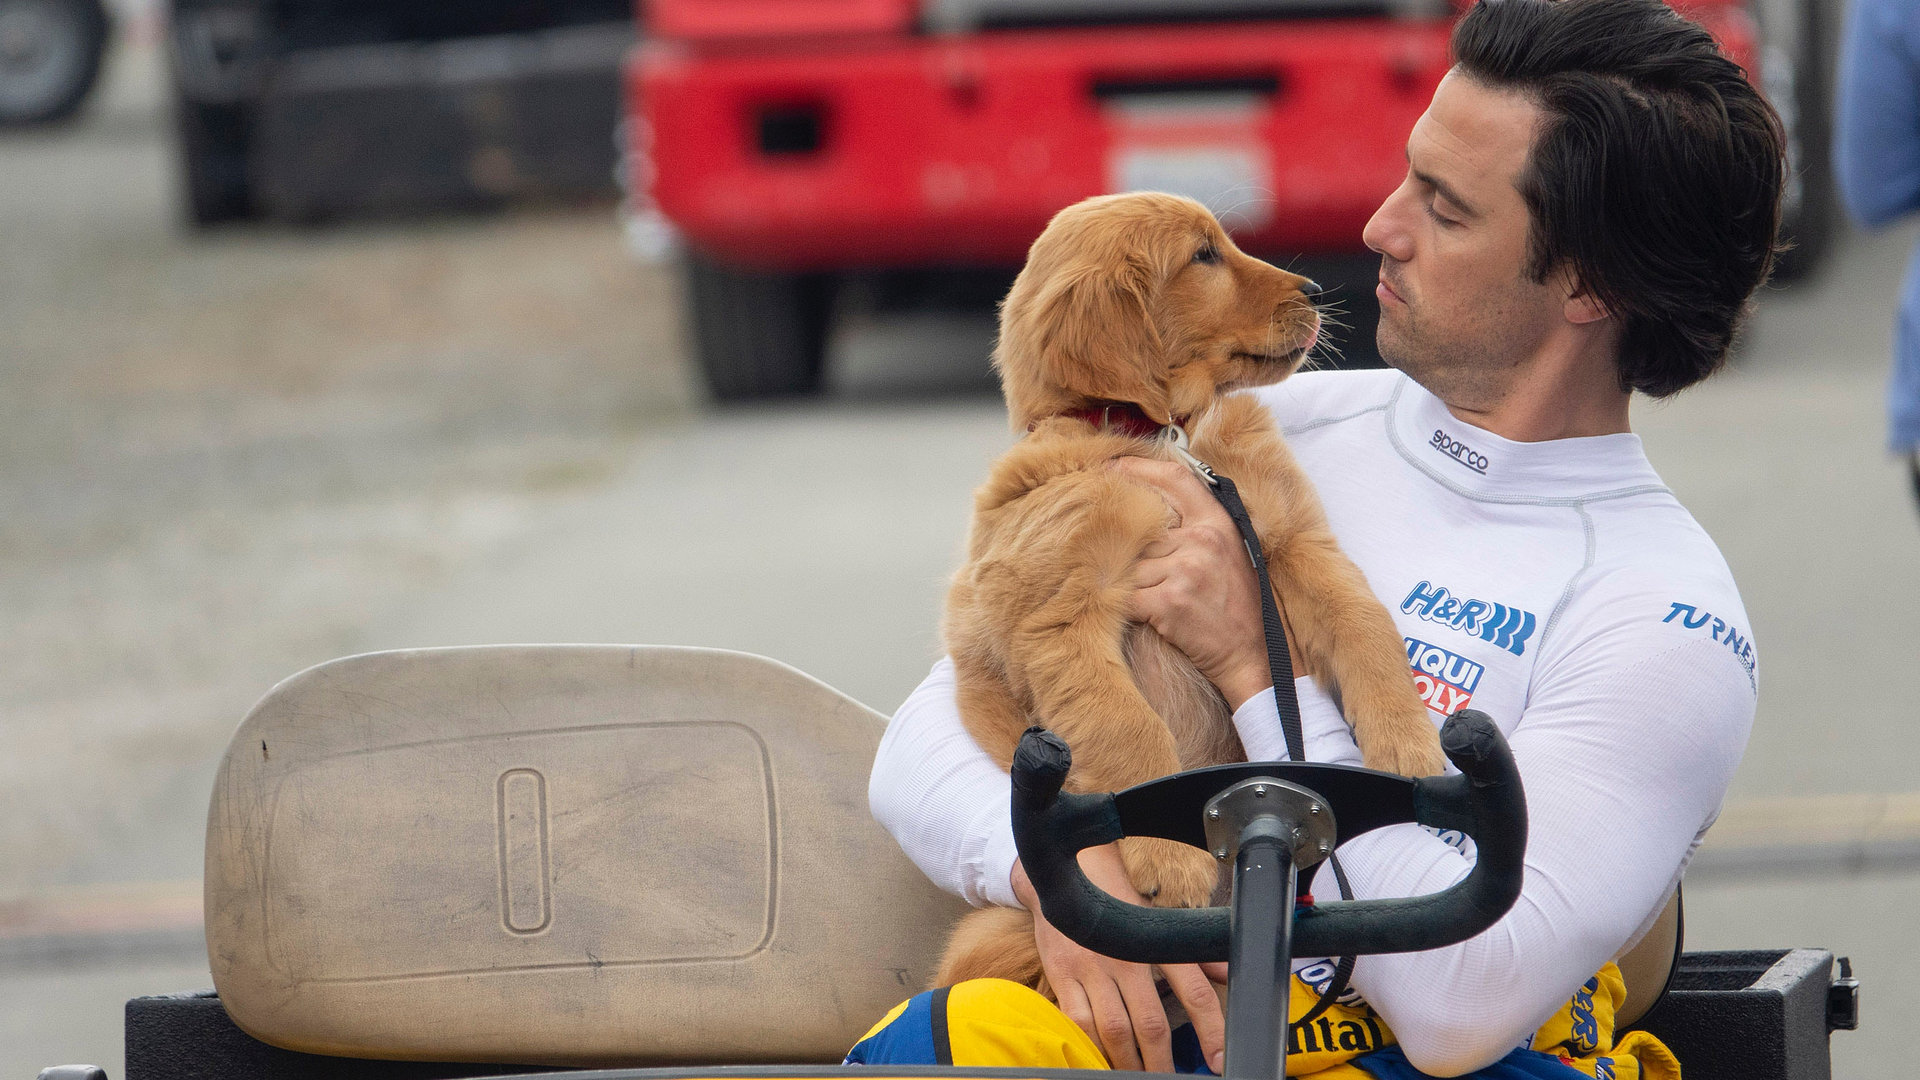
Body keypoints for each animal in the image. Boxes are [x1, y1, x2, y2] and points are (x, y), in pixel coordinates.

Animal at [929, 191, 1443, 991]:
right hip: (990, 938)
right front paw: (1171, 858)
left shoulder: (1290, 541)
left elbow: (1365, 624)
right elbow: (1128, 726)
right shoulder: (1060, 618)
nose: (1318, 293)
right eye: (1203, 257)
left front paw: (1408, 746)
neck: (1162, 437)